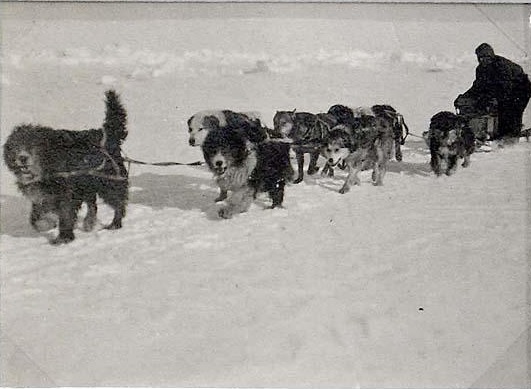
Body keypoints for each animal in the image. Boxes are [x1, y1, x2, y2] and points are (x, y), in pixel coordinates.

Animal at [3, 89, 129, 244]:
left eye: (33, 145)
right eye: (15, 146)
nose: (22, 157)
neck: (47, 166)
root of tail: (107, 134)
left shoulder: (66, 194)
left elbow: (65, 215)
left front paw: (64, 237)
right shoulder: (40, 195)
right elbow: (35, 217)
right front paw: (47, 223)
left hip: (109, 181)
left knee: (118, 202)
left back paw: (115, 224)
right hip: (87, 183)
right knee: (92, 203)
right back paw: (89, 222)